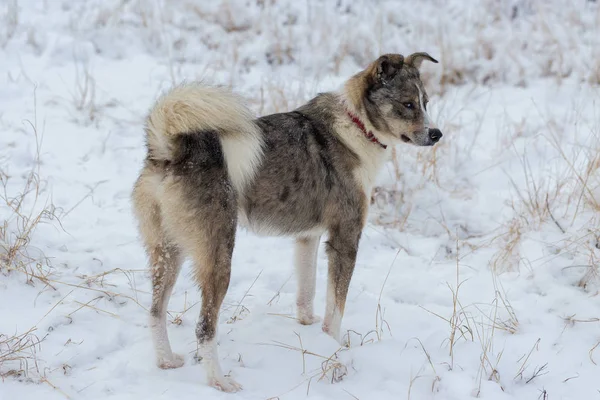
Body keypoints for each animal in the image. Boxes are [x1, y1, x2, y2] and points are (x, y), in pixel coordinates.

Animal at [131, 51, 440, 392]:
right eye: (408, 104)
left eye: (426, 102)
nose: (436, 134)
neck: (358, 125)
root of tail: (169, 151)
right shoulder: (345, 239)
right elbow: (336, 307)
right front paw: (332, 347)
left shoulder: (307, 238)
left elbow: (307, 292)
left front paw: (309, 327)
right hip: (218, 256)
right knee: (204, 327)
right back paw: (220, 381)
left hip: (167, 252)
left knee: (155, 311)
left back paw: (166, 361)